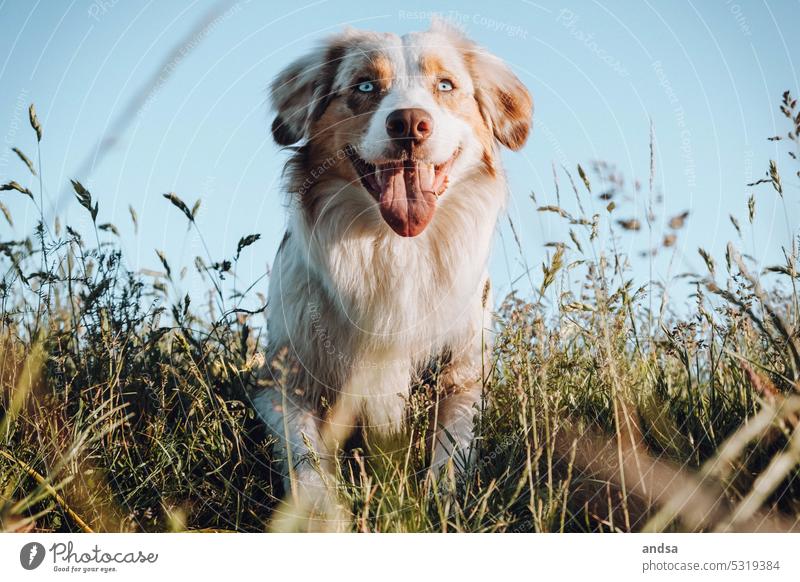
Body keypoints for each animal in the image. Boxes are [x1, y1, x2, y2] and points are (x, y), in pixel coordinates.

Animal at [255, 20, 532, 508]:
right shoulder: (281, 380)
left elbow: (453, 446)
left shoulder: (464, 375)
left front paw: (438, 503)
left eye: (446, 85)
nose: (408, 123)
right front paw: (322, 513)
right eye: (365, 86)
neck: (394, 249)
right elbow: (305, 452)